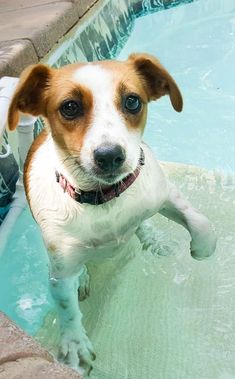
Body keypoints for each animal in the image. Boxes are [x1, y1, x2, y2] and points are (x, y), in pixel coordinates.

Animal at [7, 54, 217, 378]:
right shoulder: (59, 271)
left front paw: (203, 246)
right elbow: (66, 307)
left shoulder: (163, 192)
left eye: (132, 101)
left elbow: (197, 220)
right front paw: (74, 343)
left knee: (143, 226)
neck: (105, 200)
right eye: (70, 106)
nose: (109, 156)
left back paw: (153, 239)